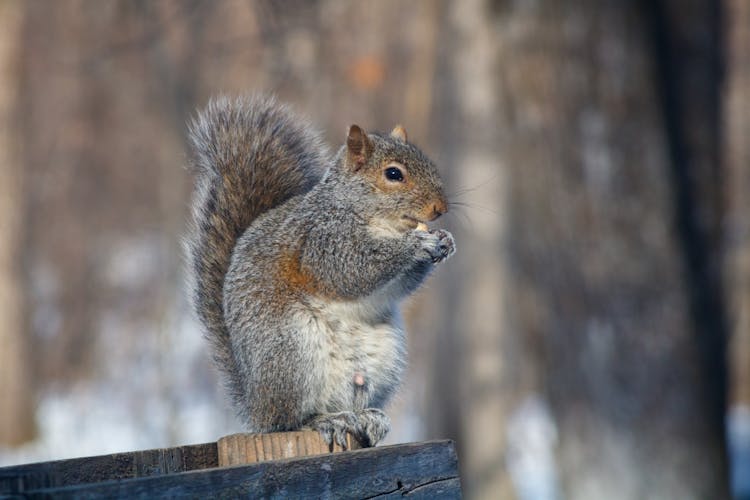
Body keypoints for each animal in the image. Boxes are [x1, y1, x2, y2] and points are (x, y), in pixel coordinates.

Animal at [187, 94, 458, 450]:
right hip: (292, 354)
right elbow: (352, 269)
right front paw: (416, 243)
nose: (440, 209)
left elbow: (402, 284)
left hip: (383, 360)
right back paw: (324, 421)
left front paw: (445, 240)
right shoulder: (321, 242)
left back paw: (368, 418)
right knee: (288, 420)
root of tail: (256, 405)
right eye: (393, 174)